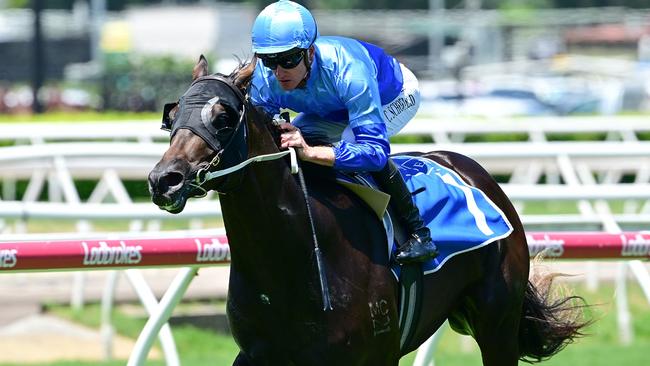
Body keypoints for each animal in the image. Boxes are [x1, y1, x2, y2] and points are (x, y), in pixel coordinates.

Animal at [147, 55, 588, 364]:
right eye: (173, 115)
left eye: (222, 116)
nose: (164, 179)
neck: (293, 261)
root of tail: (474, 171)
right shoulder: (260, 354)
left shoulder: (374, 355)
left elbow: (373, 148)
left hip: (497, 324)